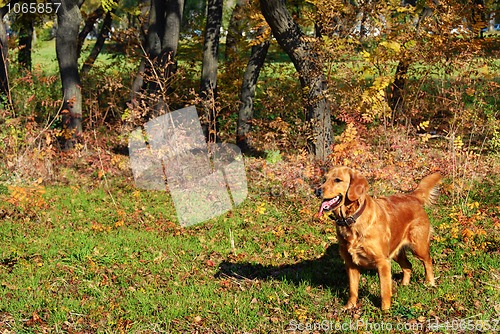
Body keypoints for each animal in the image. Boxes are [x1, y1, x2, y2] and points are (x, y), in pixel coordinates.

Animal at [318, 167, 440, 310]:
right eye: (324, 179)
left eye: (337, 180)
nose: (317, 191)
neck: (352, 219)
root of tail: (412, 196)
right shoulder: (350, 263)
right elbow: (353, 289)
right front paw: (350, 306)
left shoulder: (382, 262)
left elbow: (384, 290)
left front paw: (385, 310)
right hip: (396, 251)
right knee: (408, 265)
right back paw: (404, 284)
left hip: (418, 247)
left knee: (428, 261)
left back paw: (429, 282)